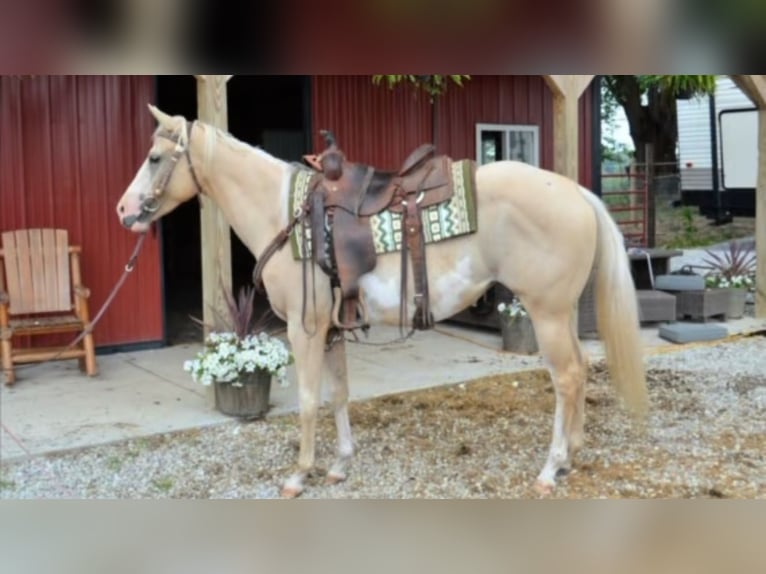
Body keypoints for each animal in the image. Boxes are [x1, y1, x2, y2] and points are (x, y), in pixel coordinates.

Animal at [116, 104, 647, 498]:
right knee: (579, 371)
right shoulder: (332, 329)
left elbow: (307, 401)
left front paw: (299, 475)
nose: (124, 210)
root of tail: (578, 193)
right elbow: (338, 395)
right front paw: (339, 465)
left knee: (568, 378)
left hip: (547, 313)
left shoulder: (305, 330)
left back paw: (550, 468)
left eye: (155, 158)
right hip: (560, 314)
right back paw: (571, 455)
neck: (283, 214)